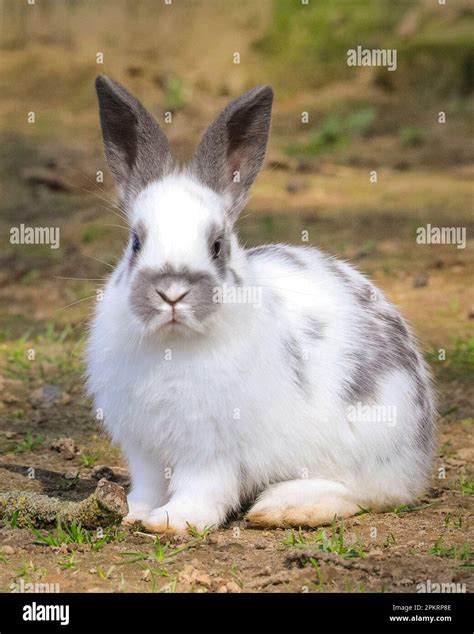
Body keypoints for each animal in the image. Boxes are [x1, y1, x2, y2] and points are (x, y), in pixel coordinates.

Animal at [85, 75, 434, 532]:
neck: (173, 345)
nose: (172, 291)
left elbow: (202, 490)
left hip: (369, 440)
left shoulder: (211, 451)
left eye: (217, 246)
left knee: (367, 493)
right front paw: (135, 514)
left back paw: (286, 506)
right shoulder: (144, 449)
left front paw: (172, 522)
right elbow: (148, 486)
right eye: (136, 243)